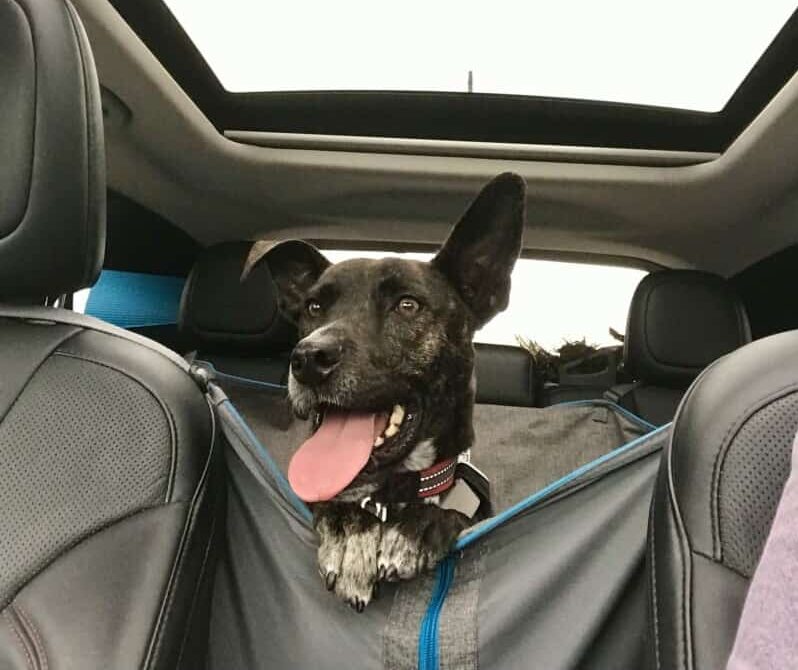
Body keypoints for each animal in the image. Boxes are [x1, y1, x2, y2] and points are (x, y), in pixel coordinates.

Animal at [247, 175, 528, 616]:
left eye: (407, 305)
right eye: (313, 307)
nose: (309, 358)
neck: (389, 496)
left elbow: (451, 514)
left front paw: (420, 525)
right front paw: (349, 531)